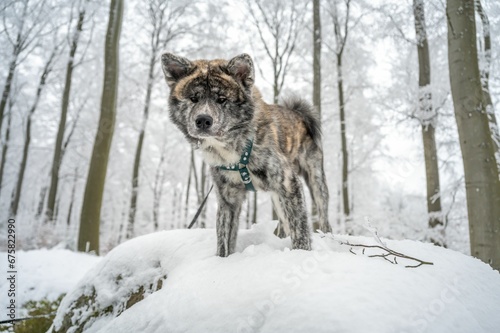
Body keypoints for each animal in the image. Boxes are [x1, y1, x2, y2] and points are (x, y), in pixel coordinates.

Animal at [161, 52, 332, 256]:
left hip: (315, 181)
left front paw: (300, 253)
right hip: (277, 196)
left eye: (222, 99)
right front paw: (221, 260)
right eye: (194, 98)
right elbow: (224, 241)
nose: (203, 120)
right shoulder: (228, 199)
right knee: (283, 220)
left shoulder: (288, 183)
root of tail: (297, 114)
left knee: (322, 213)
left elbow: (300, 229)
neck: (231, 150)